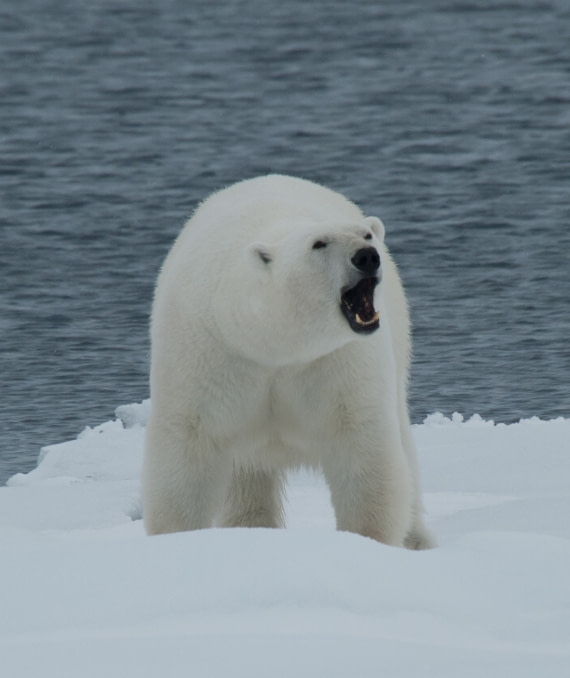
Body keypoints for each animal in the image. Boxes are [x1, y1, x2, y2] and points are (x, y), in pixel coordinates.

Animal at [142, 174, 435, 549]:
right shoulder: (211, 354)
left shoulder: (336, 361)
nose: (367, 256)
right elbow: (189, 442)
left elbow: (361, 442)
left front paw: (367, 540)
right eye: (319, 244)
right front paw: (176, 537)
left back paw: (417, 539)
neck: (272, 344)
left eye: (366, 235)